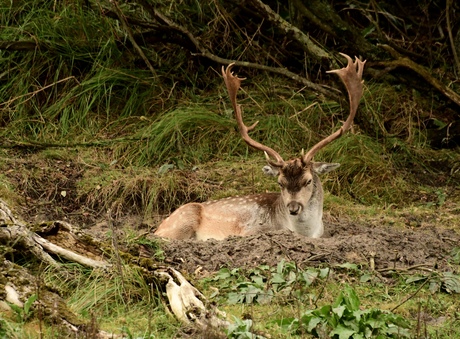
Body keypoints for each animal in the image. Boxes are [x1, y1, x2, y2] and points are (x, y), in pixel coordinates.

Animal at [155, 53, 366, 240]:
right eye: (280, 183)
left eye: (308, 181)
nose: (293, 208)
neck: (306, 232)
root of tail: (158, 227)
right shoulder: (252, 229)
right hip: (183, 219)